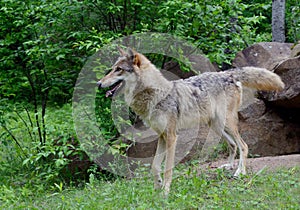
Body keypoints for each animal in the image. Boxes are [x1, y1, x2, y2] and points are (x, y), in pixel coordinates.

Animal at [97, 47, 284, 195]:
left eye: (119, 70)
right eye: (112, 69)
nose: (99, 83)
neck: (155, 94)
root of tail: (227, 73)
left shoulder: (172, 137)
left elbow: (167, 169)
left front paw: (165, 192)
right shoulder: (162, 136)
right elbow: (154, 167)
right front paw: (157, 187)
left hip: (226, 123)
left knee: (243, 146)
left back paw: (240, 172)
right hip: (216, 126)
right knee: (233, 145)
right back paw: (229, 167)